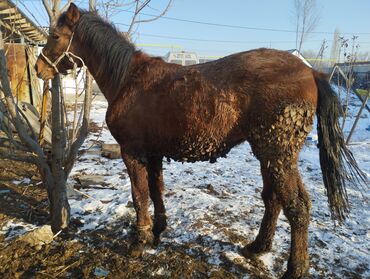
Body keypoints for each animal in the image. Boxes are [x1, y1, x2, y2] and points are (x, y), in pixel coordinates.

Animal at [36, 3, 366, 278]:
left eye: (55, 35)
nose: (39, 69)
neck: (128, 79)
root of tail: (312, 72)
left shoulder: (132, 152)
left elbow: (139, 196)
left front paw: (139, 241)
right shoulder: (153, 154)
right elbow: (156, 191)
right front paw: (158, 231)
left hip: (277, 155)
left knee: (296, 207)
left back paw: (294, 269)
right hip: (272, 156)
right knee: (275, 200)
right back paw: (257, 247)